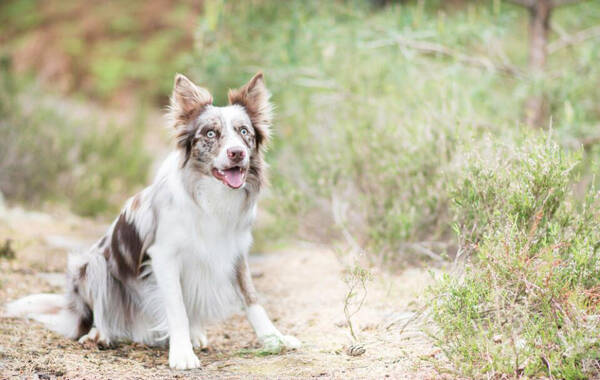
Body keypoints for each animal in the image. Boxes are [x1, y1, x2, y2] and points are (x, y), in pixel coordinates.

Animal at [4, 72, 300, 370]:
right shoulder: (164, 256)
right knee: (96, 315)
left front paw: (274, 338)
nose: (237, 152)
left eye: (244, 132)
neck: (211, 197)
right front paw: (181, 354)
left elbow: (252, 299)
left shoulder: (235, 251)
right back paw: (99, 334)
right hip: (91, 264)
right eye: (210, 134)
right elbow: (177, 308)